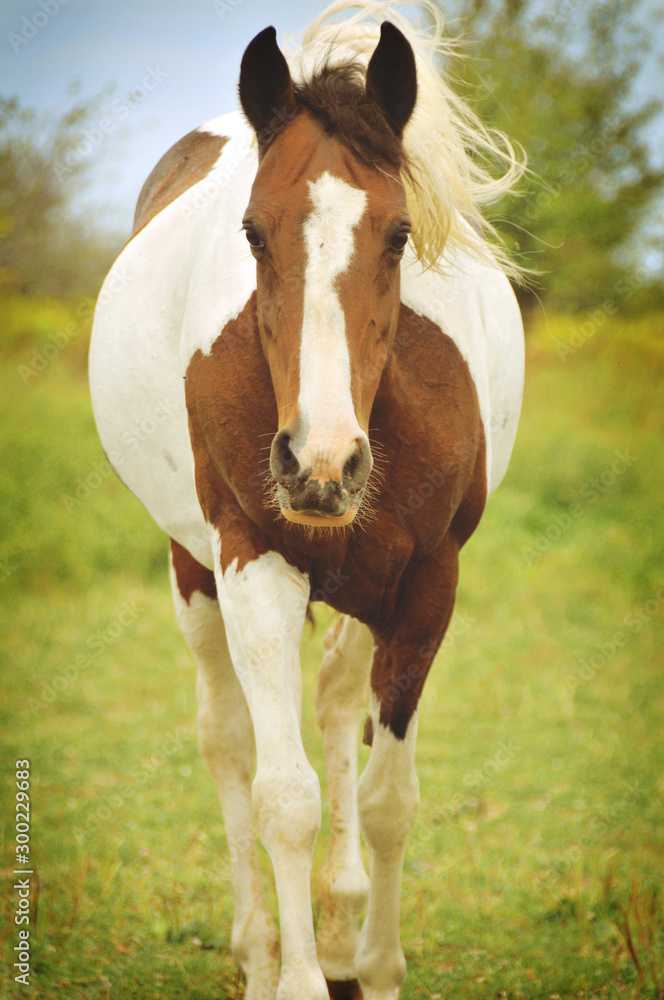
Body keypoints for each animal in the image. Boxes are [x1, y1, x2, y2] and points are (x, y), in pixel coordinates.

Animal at [88, 2, 525, 997]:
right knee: (226, 740)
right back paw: (260, 952)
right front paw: (292, 977)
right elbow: (283, 796)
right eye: (253, 232)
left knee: (332, 705)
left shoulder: (427, 579)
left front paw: (374, 962)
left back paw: (338, 926)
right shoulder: (253, 558)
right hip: (194, 565)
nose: (318, 466)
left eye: (400, 234)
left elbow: (388, 795)